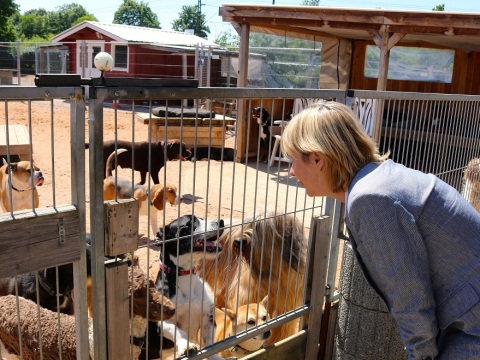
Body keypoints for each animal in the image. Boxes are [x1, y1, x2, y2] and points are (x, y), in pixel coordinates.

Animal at [152, 215, 231, 358]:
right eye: (190, 223)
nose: (221, 221)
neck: (185, 276)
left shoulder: (208, 317)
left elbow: (209, 343)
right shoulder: (163, 322)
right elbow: (178, 331)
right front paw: (186, 346)